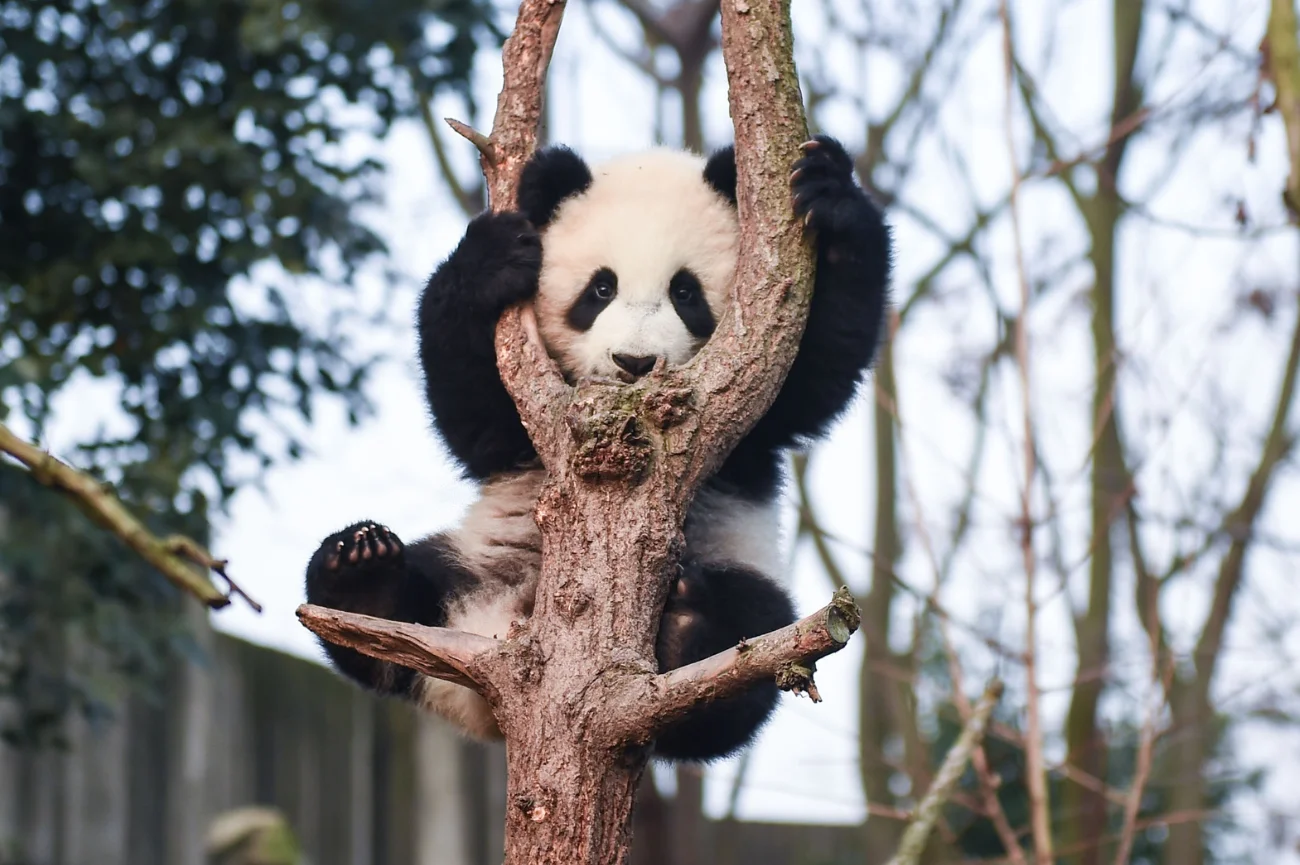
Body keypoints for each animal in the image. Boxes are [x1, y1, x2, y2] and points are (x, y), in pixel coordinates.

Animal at [304, 134, 890, 762]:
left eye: (686, 292)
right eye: (600, 288)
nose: (634, 362)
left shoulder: (754, 415)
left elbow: (818, 372)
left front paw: (830, 193)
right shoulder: (525, 421)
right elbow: (472, 413)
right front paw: (491, 259)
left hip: (741, 569)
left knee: (749, 643)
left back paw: (691, 630)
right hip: (475, 562)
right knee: (389, 605)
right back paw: (363, 572)